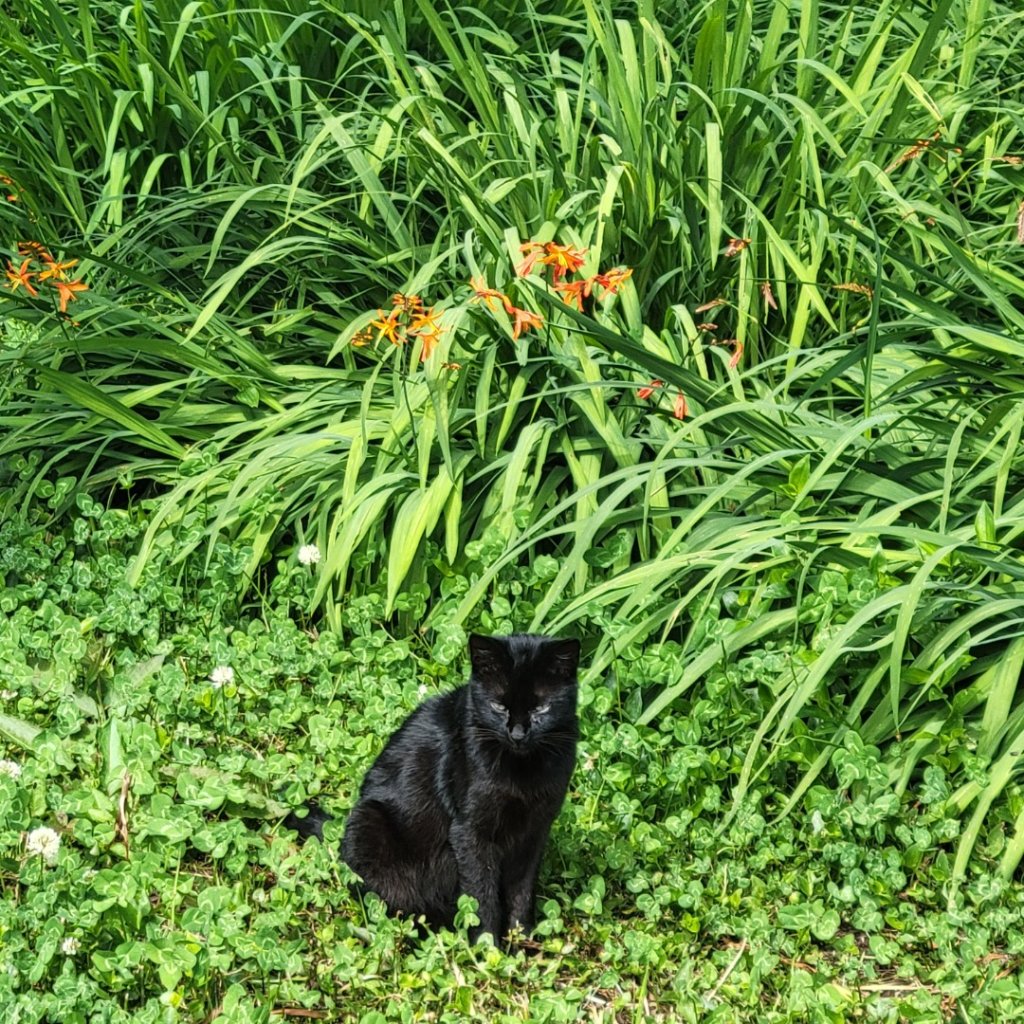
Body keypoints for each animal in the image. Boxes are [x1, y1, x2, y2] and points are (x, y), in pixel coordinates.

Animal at [288, 630, 581, 942]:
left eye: (541, 708)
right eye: (499, 706)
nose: (517, 734)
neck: (524, 773)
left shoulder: (535, 831)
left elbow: (521, 894)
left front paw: (521, 942)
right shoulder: (470, 832)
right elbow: (481, 896)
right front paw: (488, 946)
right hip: (369, 823)